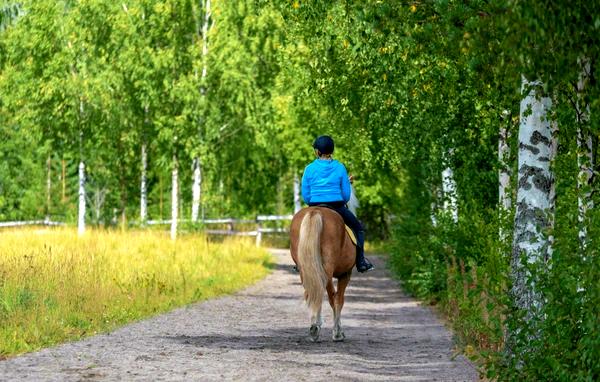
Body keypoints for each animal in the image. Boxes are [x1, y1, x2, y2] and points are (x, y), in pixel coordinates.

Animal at [290, 206, 356, 344]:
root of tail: (315, 211)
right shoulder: (345, 274)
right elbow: (339, 300)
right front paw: (338, 332)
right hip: (328, 270)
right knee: (330, 297)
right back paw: (326, 331)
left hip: (306, 269)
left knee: (312, 293)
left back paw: (314, 328)